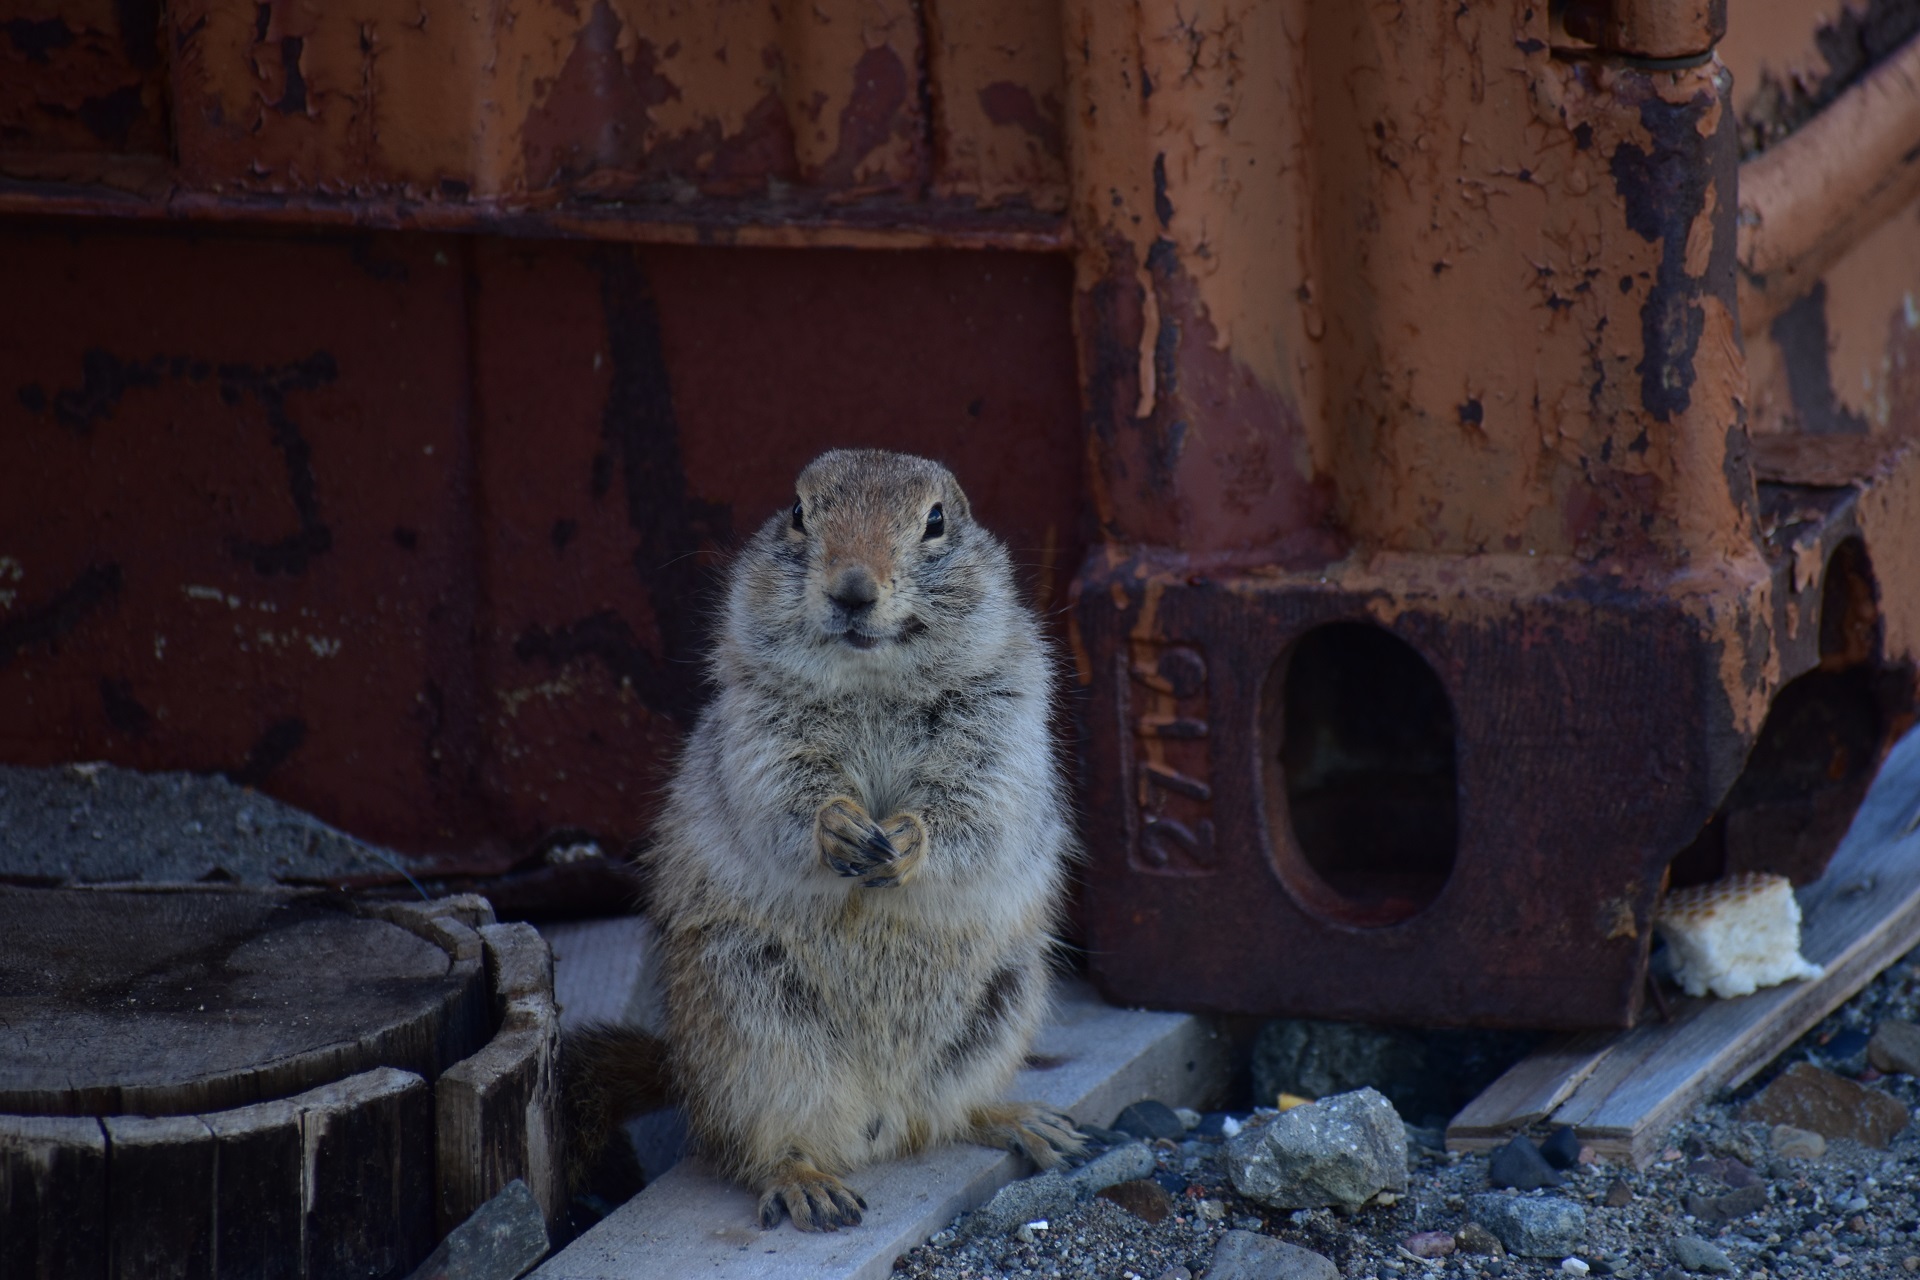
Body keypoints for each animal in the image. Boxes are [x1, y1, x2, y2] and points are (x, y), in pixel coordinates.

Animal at [560, 449, 1090, 1228]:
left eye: (936, 521)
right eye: (798, 512)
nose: (852, 588)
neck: (873, 678)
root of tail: (881, 1115)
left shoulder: (1002, 729)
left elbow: (975, 810)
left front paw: (907, 840)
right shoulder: (760, 734)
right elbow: (785, 800)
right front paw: (837, 827)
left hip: (1003, 1006)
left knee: (946, 1118)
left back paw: (1025, 1121)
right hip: (755, 1032)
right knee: (758, 1147)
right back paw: (807, 1182)